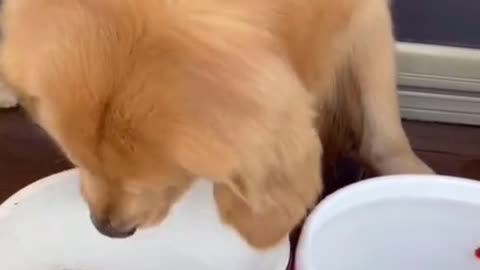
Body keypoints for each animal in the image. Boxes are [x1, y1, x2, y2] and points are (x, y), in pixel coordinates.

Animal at [0, 0, 434, 249]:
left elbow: (382, 118)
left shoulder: (365, 11)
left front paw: (412, 175)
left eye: (165, 177)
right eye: (78, 162)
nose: (108, 230)